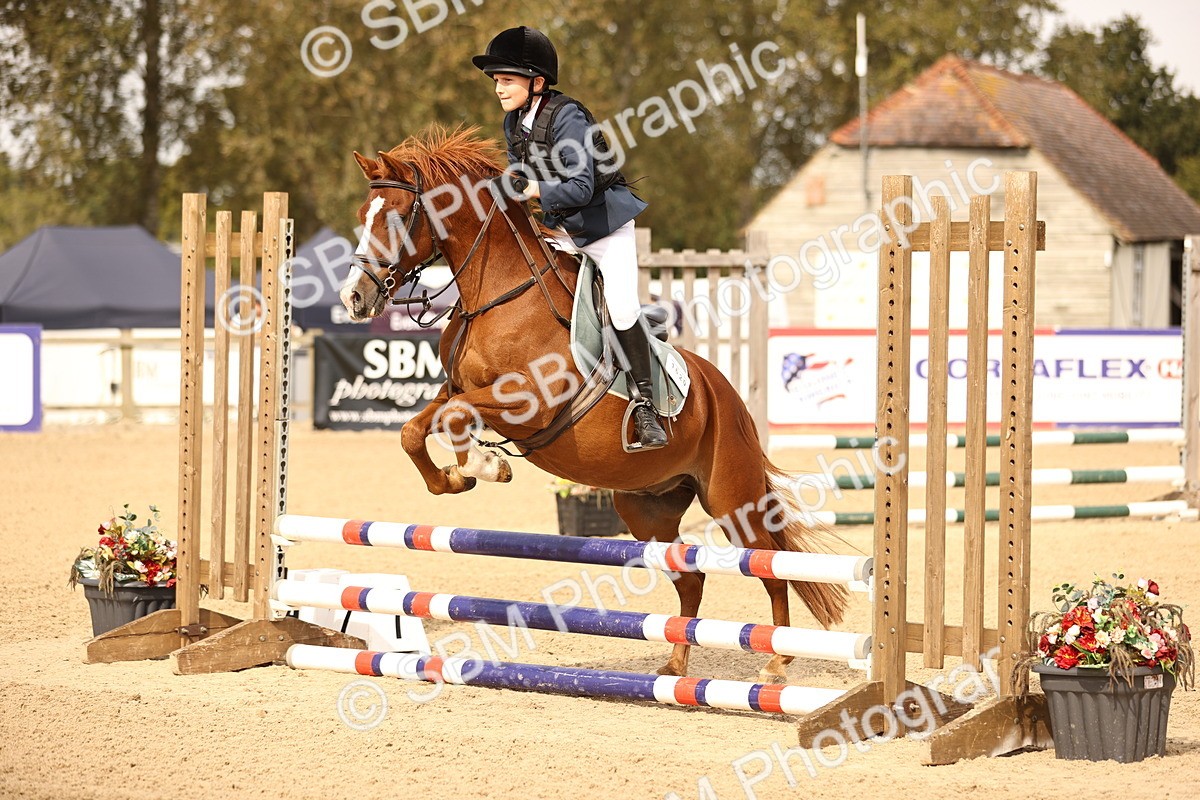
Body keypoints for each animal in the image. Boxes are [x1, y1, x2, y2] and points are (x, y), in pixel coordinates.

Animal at [339, 126, 848, 682]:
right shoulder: (456, 391)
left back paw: (776, 662)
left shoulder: (528, 402)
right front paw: (458, 475)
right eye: (362, 213)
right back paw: (674, 665)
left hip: (732, 500)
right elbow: (418, 428)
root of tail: (728, 398)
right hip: (647, 508)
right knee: (690, 578)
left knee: (772, 567)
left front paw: (486, 465)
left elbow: (451, 420)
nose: (353, 298)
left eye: (392, 217)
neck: (498, 295)